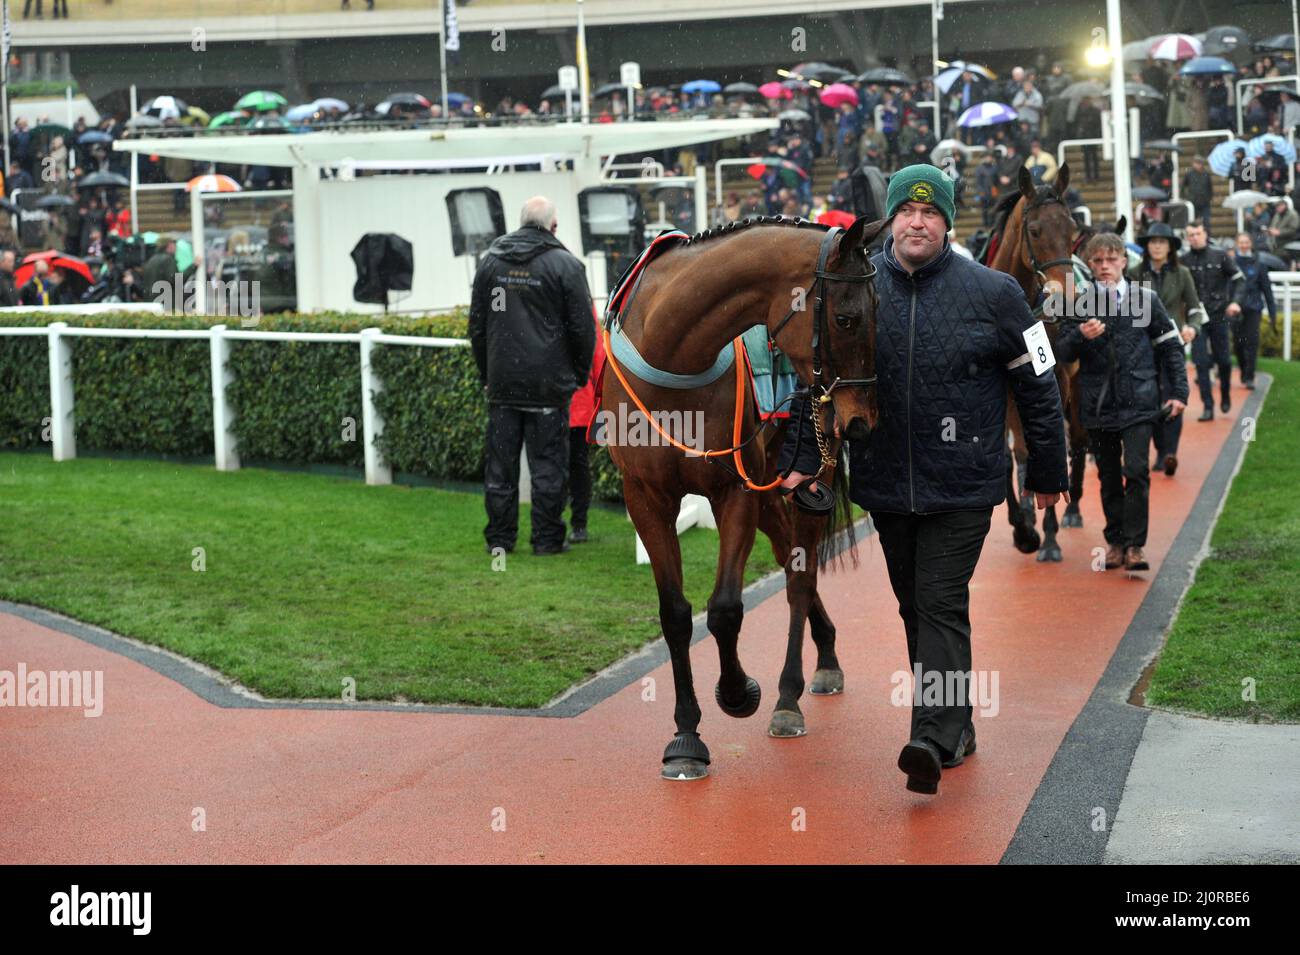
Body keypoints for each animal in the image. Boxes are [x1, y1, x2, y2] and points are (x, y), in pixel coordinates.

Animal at [600, 213, 889, 779]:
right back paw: (825, 651)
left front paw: (737, 692)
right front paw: (686, 736)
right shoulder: (645, 497)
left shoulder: (733, 490)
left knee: (799, 577)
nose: (862, 420)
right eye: (846, 319)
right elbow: (675, 615)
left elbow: (726, 609)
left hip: (810, 467)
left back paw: (790, 694)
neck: (675, 356)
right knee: (784, 554)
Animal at [987, 166, 1092, 561]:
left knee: (1078, 439)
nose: (1066, 300)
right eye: (1034, 231)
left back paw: (1072, 508)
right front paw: (1023, 528)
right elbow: (1008, 455)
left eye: (1072, 229)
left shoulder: (1055, 377)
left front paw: (1047, 536)